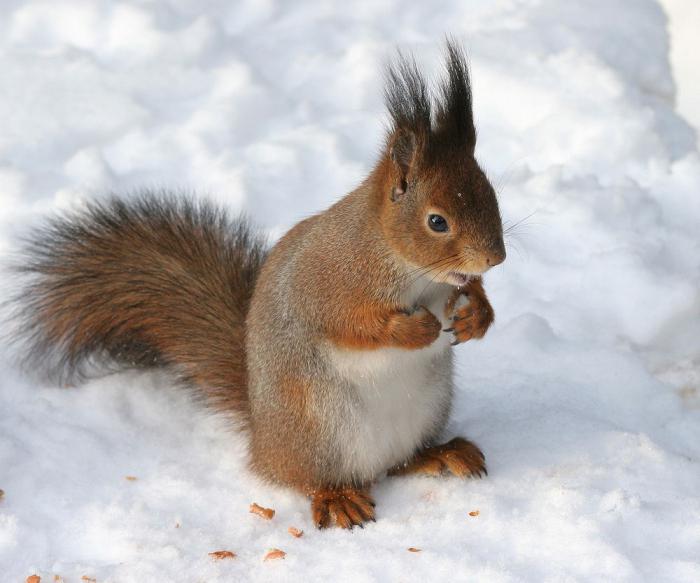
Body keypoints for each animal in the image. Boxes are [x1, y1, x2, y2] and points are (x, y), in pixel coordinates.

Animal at [10, 41, 504, 532]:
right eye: (436, 221)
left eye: (491, 193)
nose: (495, 258)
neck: (410, 269)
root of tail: (263, 442)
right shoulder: (328, 281)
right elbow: (350, 324)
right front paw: (415, 329)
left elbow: (472, 294)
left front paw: (477, 314)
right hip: (318, 426)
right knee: (309, 478)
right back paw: (338, 497)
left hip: (426, 407)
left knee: (401, 462)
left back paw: (441, 453)